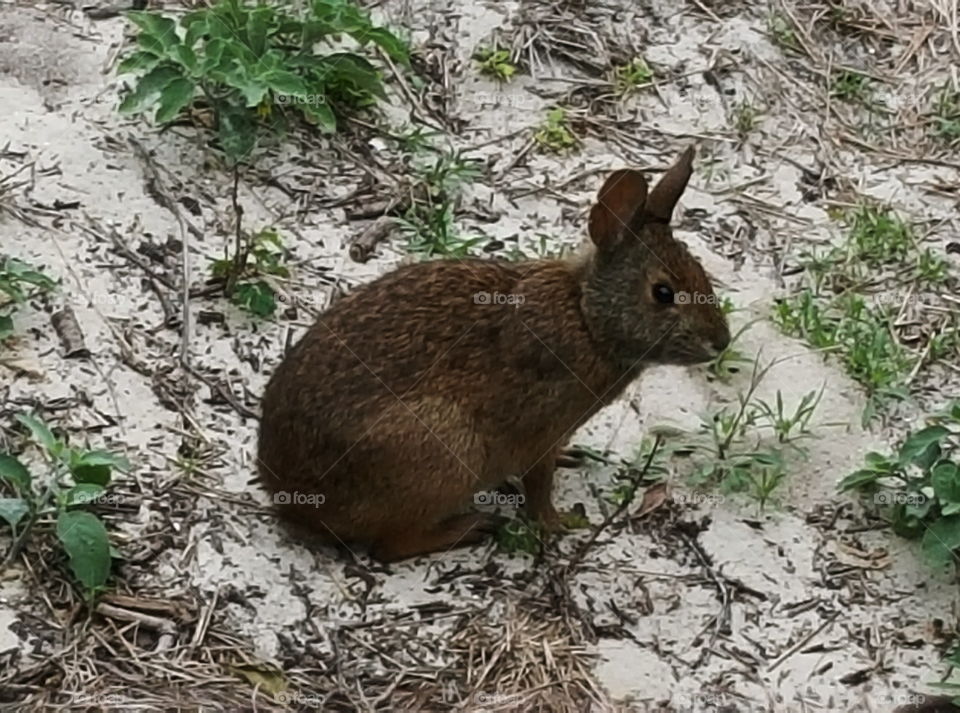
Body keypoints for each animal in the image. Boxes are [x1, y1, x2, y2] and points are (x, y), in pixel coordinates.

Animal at [257, 145, 730, 562]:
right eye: (663, 293)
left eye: (702, 272)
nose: (720, 341)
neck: (587, 318)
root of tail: (291, 498)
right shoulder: (539, 434)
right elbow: (538, 485)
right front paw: (557, 524)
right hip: (444, 450)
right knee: (390, 547)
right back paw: (470, 528)